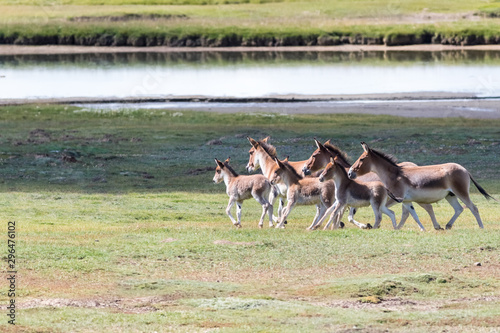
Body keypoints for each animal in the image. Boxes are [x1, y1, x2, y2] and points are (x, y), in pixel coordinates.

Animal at [350, 141, 494, 230]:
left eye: (362, 158)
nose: (350, 172)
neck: (395, 174)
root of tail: (464, 169)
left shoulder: (398, 198)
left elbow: (384, 210)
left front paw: (374, 226)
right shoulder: (405, 200)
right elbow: (410, 214)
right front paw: (400, 228)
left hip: (461, 192)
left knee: (473, 208)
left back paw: (481, 227)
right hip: (450, 195)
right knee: (459, 209)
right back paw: (447, 225)